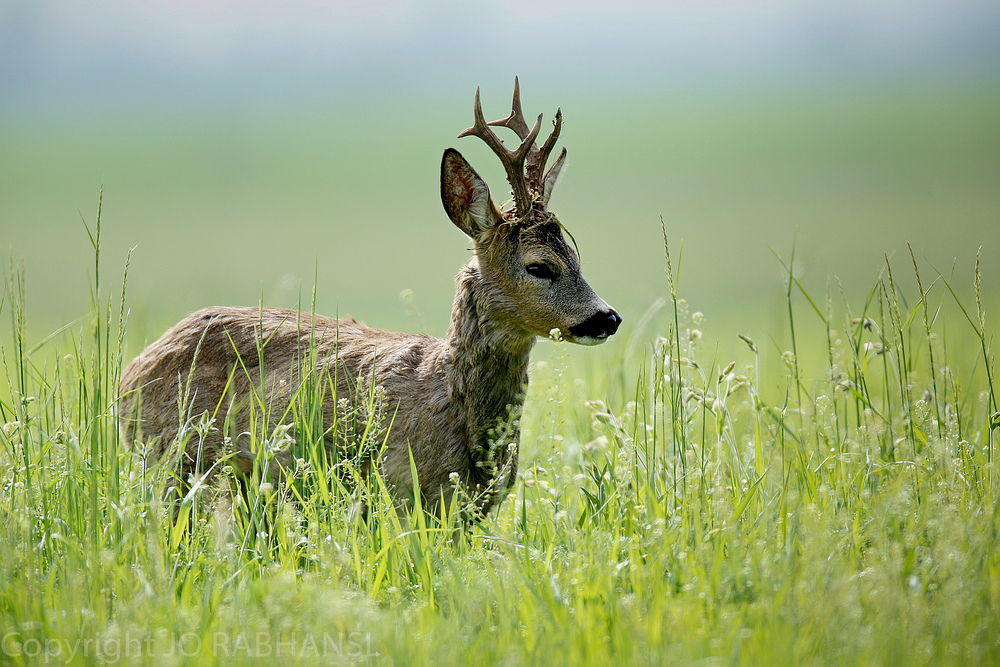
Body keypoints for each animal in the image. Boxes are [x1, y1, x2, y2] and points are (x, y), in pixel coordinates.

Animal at [121, 79, 620, 516]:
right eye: (539, 267)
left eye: (575, 255)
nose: (608, 318)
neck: (450, 404)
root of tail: (130, 373)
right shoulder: (402, 488)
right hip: (171, 459)